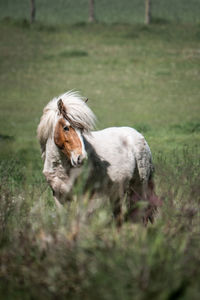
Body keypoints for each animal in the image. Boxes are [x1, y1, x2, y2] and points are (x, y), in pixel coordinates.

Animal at [36, 90, 160, 226]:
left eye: (81, 130)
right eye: (66, 127)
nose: (81, 158)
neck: (61, 169)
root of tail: (139, 136)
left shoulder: (83, 196)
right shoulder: (59, 197)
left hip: (140, 186)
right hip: (117, 191)